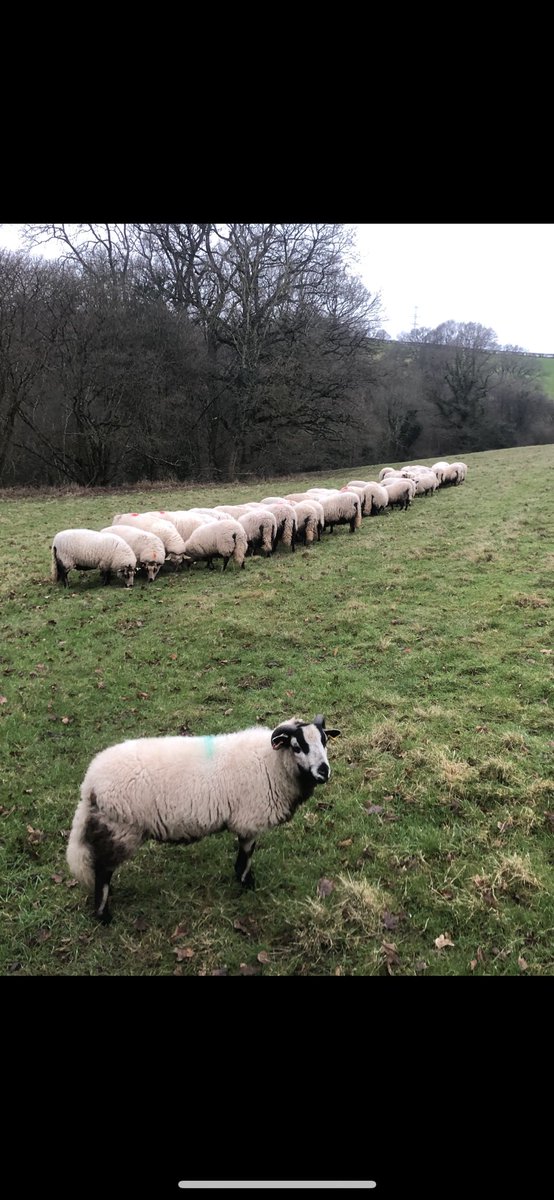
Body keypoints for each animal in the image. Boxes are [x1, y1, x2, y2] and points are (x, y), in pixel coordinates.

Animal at [66, 713, 341, 923]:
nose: (323, 772)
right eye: (297, 746)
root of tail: (89, 784)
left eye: (325, 741)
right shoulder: (249, 819)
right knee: (102, 870)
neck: (271, 763)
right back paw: (103, 915)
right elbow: (246, 855)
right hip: (122, 829)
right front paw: (246, 883)